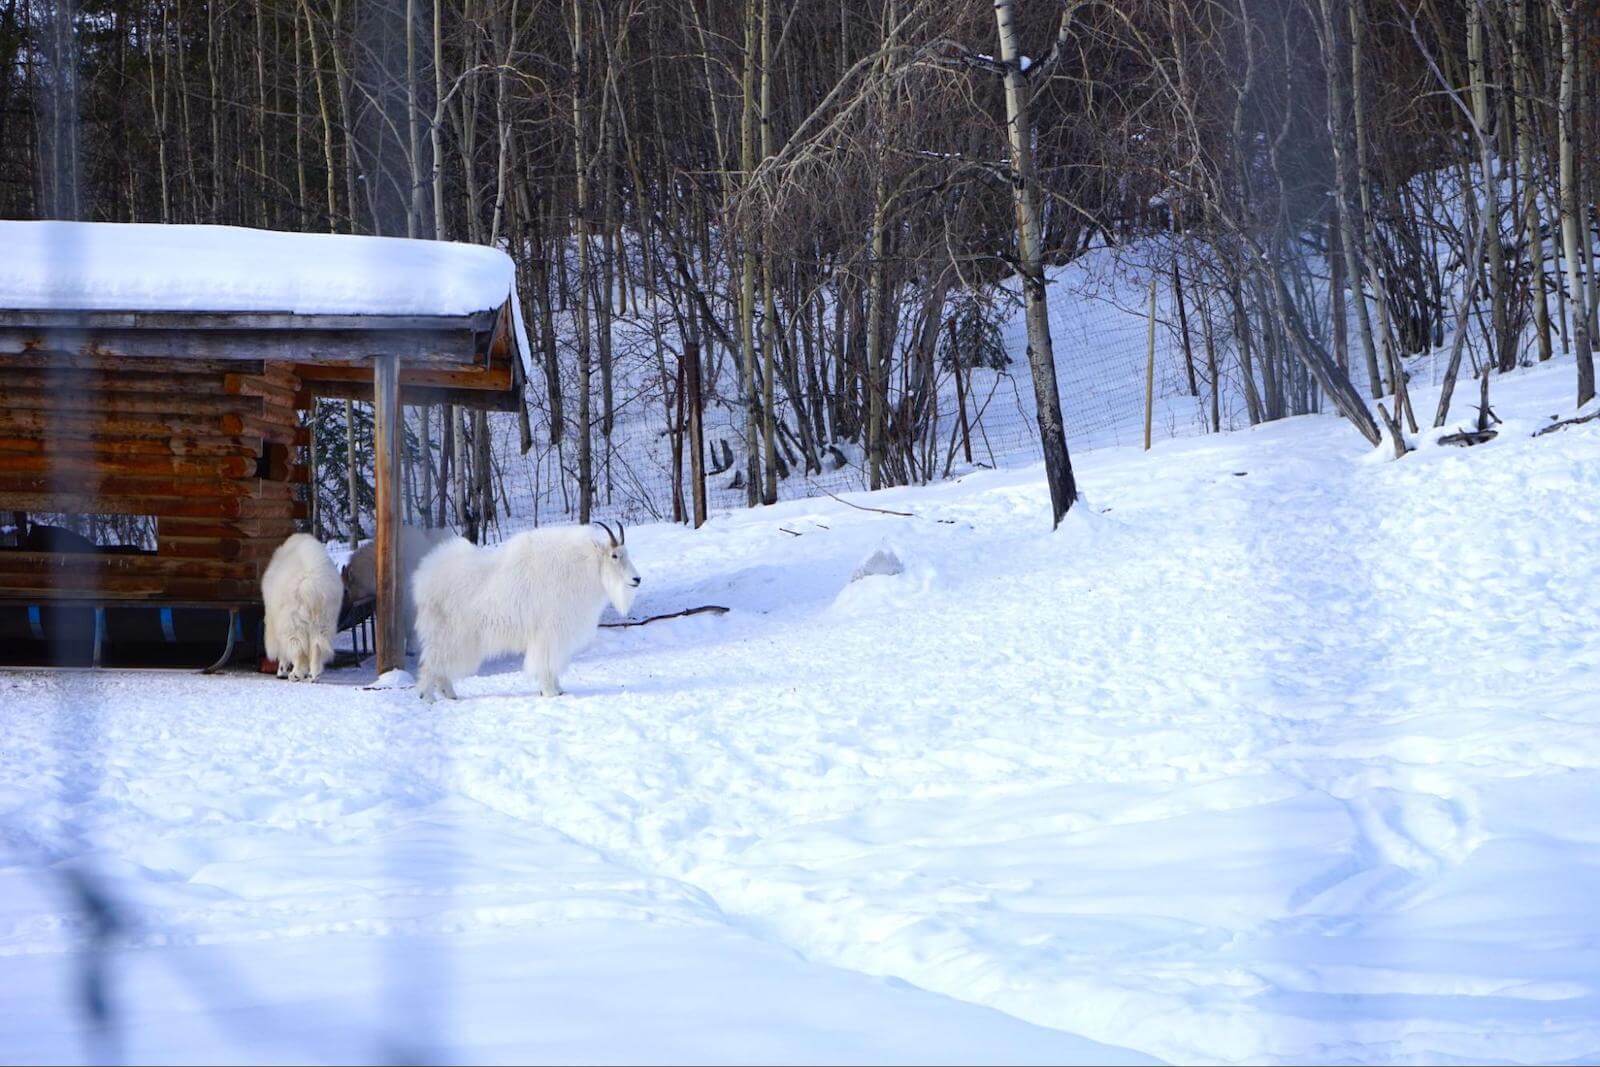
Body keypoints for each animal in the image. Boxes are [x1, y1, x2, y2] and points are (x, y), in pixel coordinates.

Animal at [260, 534, 342, 684]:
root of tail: (310, 583)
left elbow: (283, 652)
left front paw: (281, 670)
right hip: (324, 620)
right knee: (317, 647)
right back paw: (313, 676)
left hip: (293, 623)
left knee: (297, 649)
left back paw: (295, 675)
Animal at [412, 524, 643, 703]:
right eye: (615, 555)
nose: (637, 579)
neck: (584, 567)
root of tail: (423, 580)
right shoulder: (549, 633)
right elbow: (546, 663)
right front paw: (550, 692)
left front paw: (558, 690)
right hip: (450, 636)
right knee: (430, 664)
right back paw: (428, 697)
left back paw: (449, 695)